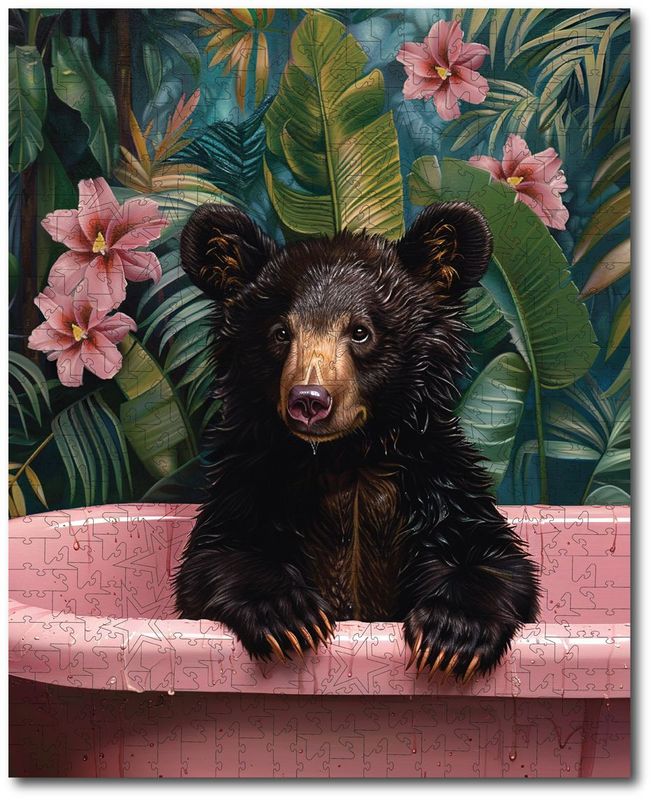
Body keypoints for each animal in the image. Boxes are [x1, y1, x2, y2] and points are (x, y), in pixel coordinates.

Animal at [174, 201, 540, 682]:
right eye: (281, 332)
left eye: (360, 331)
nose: (309, 400)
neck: (346, 456)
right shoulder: (252, 480)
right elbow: (218, 552)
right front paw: (288, 615)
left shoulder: (436, 480)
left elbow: (491, 555)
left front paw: (453, 633)